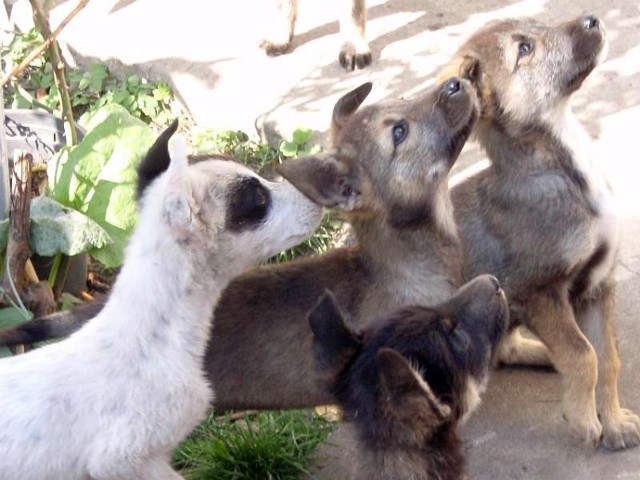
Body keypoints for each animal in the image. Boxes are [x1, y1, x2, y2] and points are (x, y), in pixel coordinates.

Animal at [440, 15, 640, 450]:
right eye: (524, 49)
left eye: (540, 23)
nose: (592, 19)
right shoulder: (538, 292)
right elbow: (584, 356)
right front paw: (584, 419)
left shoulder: (598, 284)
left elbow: (607, 357)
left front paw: (615, 422)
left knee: (505, 348)